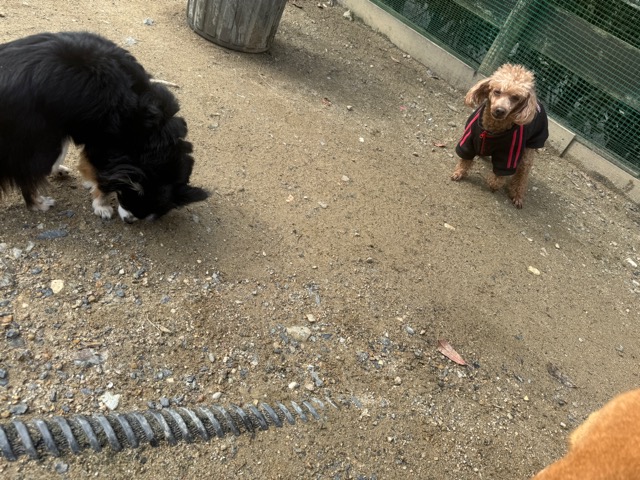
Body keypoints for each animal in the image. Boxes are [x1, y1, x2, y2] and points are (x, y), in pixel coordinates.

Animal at [0, 31, 208, 222]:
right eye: (129, 200)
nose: (129, 221)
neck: (152, 138)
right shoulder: (104, 144)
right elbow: (102, 179)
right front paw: (102, 206)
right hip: (43, 137)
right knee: (28, 172)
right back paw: (38, 203)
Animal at [450, 64, 549, 208]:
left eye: (515, 98)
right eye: (497, 91)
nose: (500, 110)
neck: (492, 129)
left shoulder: (510, 152)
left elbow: (500, 175)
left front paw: (493, 184)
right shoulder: (469, 139)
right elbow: (465, 158)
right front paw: (459, 172)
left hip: (529, 149)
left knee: (522, 174)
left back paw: (517, 195)